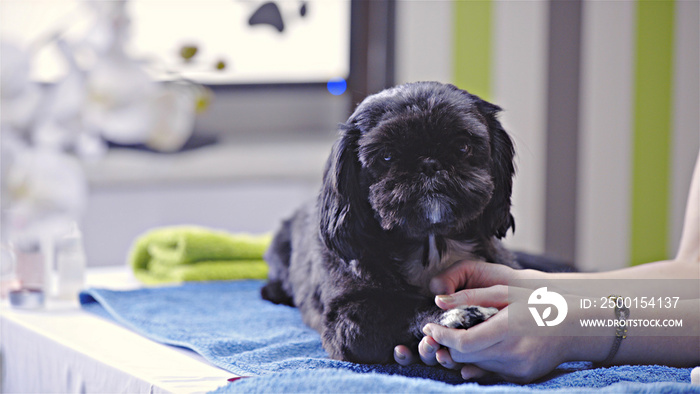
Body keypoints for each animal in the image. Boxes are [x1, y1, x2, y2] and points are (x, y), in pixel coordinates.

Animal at [260, 81, 516, 364]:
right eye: (386, 156)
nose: (429, 163)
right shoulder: (347, 321)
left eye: (463, 147)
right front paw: (456, 315)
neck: (431, 245)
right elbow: (403, 311)